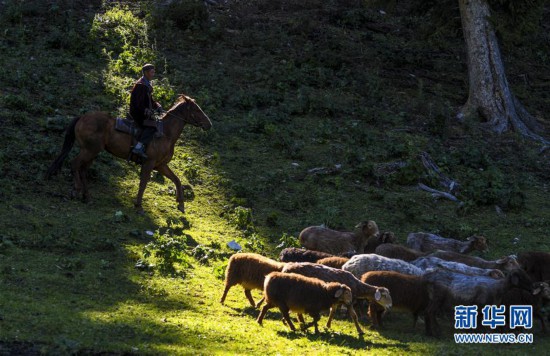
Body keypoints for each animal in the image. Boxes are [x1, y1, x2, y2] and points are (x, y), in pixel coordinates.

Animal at [46, 93, 213, 213]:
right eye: (197, 109)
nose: (209, 124)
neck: (165, 133)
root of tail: (83, 117)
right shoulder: (149, 163)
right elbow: (143, 183)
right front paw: (138, 205)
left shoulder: (160, 165)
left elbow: (177, 180)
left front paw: (181, 204)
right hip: (89, 150)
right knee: (75, 164)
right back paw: (77, 190)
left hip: (92, 152)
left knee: (83, 169)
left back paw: (87, 196)